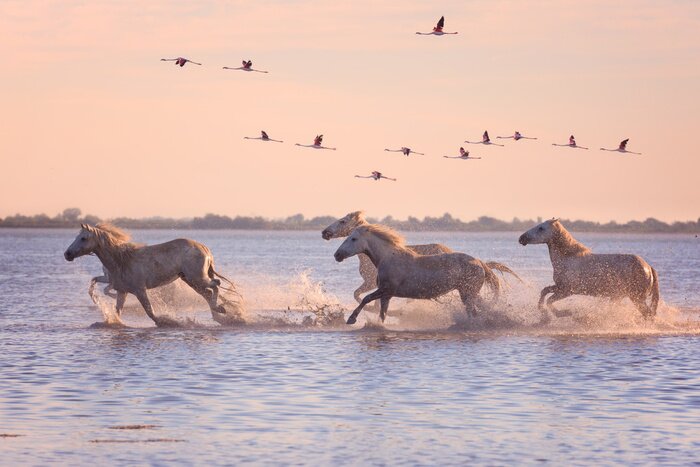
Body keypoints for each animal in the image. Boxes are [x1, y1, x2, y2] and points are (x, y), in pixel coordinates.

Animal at [64, 223, 240, 327]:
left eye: (83, 238)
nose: (67, 254)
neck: (121, 260)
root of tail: (204, 248)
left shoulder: (139, 290)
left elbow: (150, 312)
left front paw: (166, 322)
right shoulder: (122, 291)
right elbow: (116, 308)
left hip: (197, 278)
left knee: (215, 285)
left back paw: (221, 310)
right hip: (191, 280)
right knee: (208, 293)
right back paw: (220, 315)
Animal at [334, 224, 517, 325]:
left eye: (353, 239)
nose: (337, 255)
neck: (387, 258)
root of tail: (479, 262)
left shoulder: (386, 290)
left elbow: (365, 299)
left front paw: (351, 319)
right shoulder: (387, 295)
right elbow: (382, 313)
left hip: (468, 293)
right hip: (468, 293)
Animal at [518, 219, 660, 320]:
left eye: (541, 228)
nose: (521, 238)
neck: (568, 258)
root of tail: (648, 267)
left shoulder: (567, 290)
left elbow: (549, 301)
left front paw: (564, 313)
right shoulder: (559, 286)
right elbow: (544, 292)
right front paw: (543, 313)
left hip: (637, 298)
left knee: (649, 315)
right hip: (622, 297)